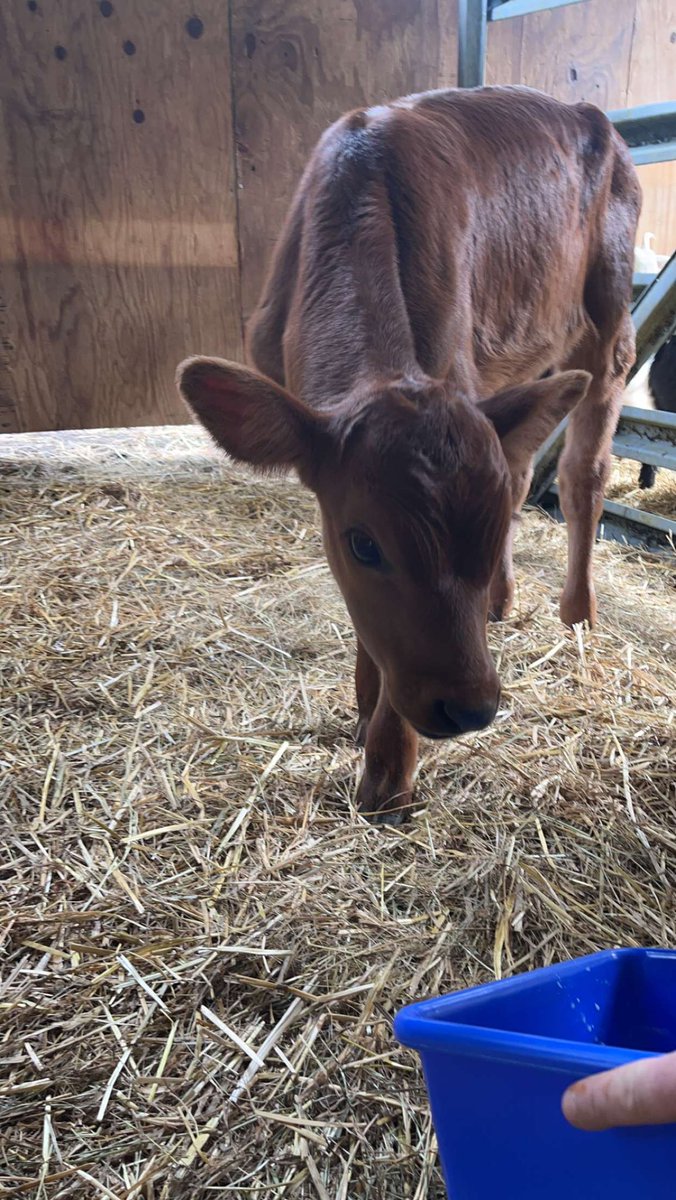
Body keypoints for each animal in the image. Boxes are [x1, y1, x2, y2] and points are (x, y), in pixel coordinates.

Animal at [178, 85, 640, 826]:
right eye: (364, 543)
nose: (470, 706)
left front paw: (387, 771)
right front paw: (367, 705)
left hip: (607, 323)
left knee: (580, 476)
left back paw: (576, 613)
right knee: (519, 470)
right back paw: (500, 602)